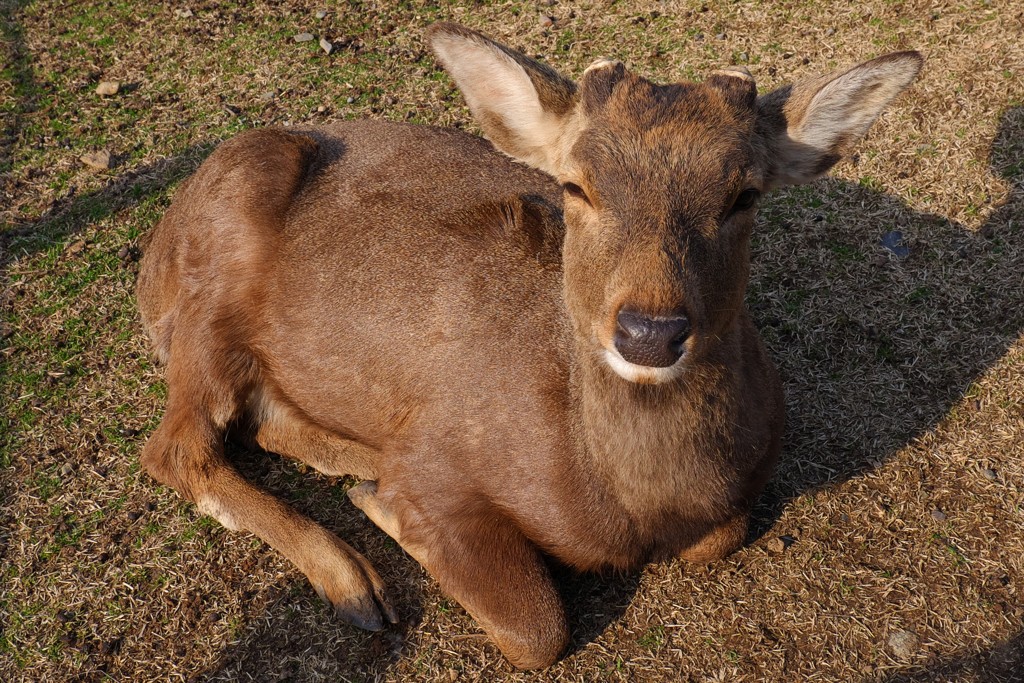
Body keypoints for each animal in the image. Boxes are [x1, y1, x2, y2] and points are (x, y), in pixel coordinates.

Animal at [132, 24, 925, 671]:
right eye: (575, 185)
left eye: (745, 195)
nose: (649, 330)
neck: (627, 507)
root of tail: (152, 263)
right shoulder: (440, 458)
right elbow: (537, 628)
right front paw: (391, 516)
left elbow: (719, 536)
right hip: (210, 294)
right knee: (174, 447)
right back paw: (356, 578)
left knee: (260, 420)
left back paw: (357, 463)